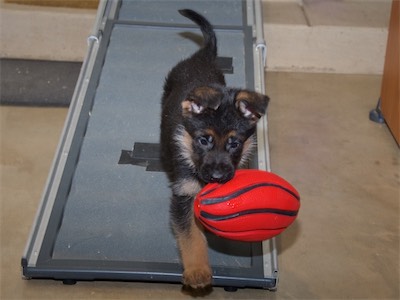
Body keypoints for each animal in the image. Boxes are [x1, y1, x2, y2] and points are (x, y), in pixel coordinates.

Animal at [159, 9, 268, 290]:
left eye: (234, 143)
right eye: (203, 140)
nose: (218, 176)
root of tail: (202, 55)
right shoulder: (184, 196)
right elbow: (191, 238)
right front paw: (197, 271)